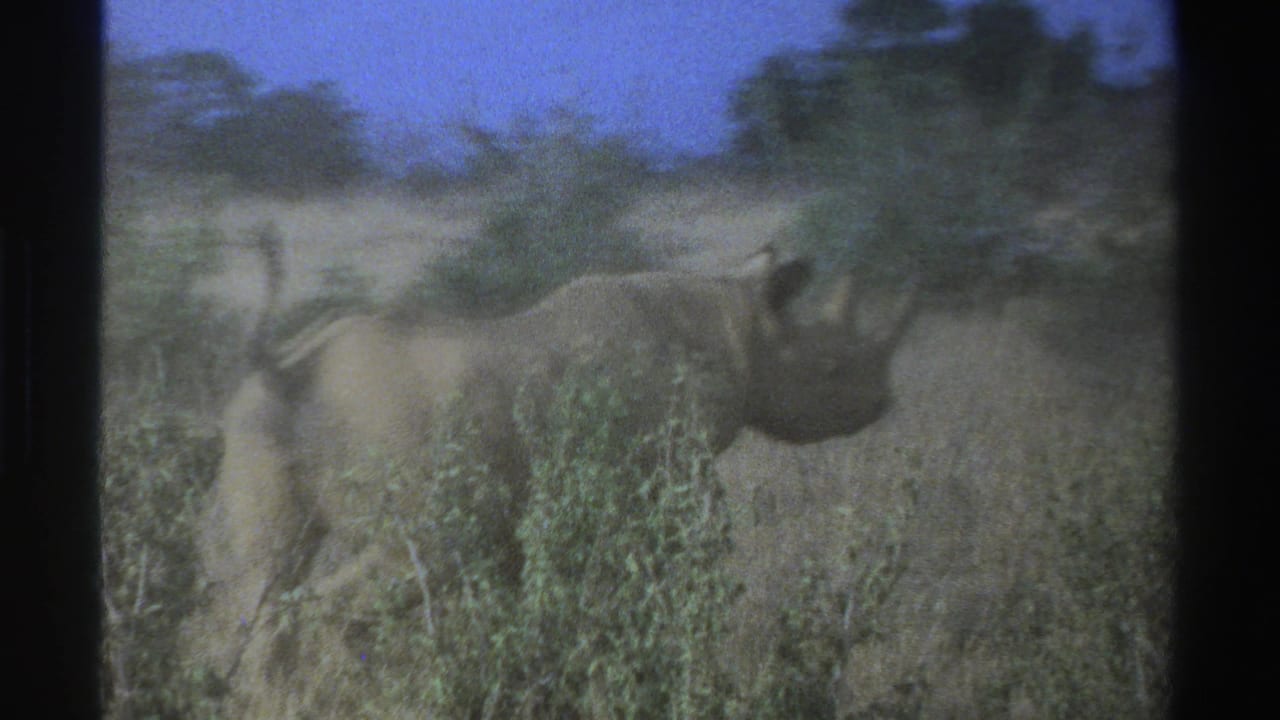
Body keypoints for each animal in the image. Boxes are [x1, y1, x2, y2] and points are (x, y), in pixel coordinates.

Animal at [189, 225, 918, 709]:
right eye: (832, 369)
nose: (884, 402)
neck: (736, 319)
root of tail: (289, 370)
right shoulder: (665, 473)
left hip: (253, 417)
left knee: (268, 574)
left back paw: (282, 699)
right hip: (398, 434)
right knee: (411, 556)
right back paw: (357, 695)